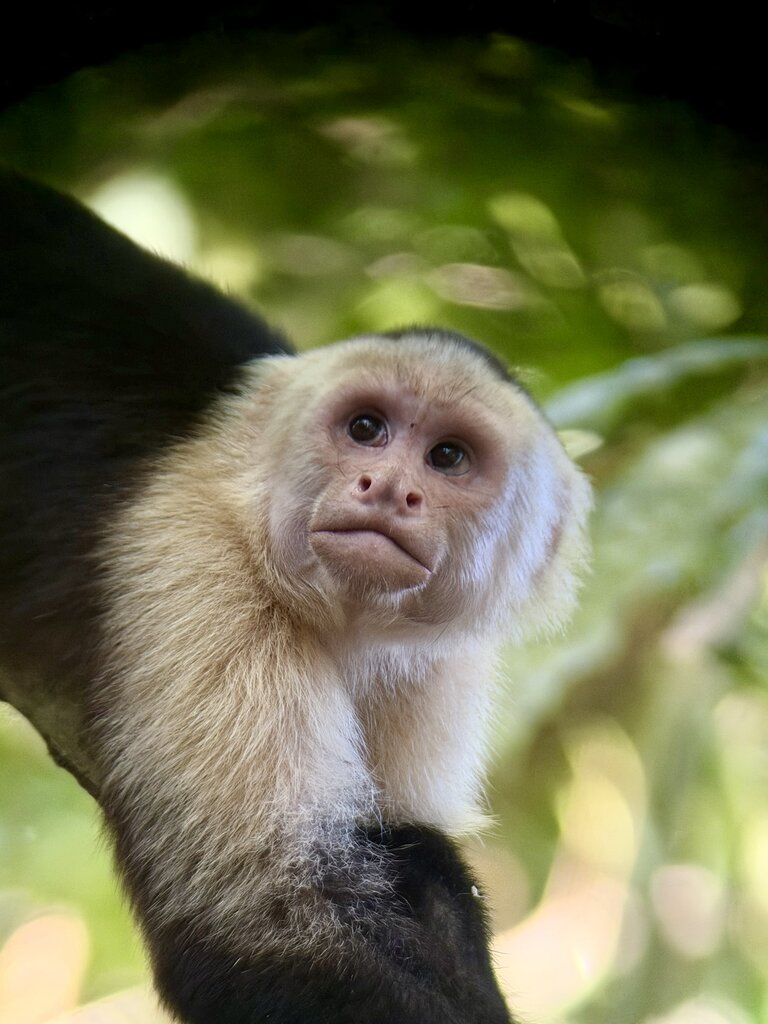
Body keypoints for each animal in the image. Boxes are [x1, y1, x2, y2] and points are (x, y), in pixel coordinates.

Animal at [0, 170, 591, 1023]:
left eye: (448, 457)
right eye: (367, 429)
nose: (390, 489)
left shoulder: (435, 663)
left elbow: (400, 850)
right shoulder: (197, 570)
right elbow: (264, 921)